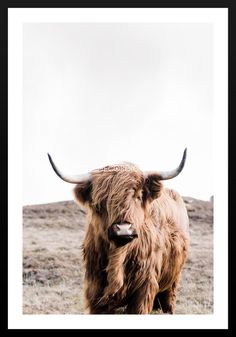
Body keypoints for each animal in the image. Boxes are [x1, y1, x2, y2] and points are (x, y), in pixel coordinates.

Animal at [48, 148, 190, 314]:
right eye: (100, 202)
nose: (123, 230)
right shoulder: (94, 291)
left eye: (138, 196)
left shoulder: (144, 289)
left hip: (172, 281)